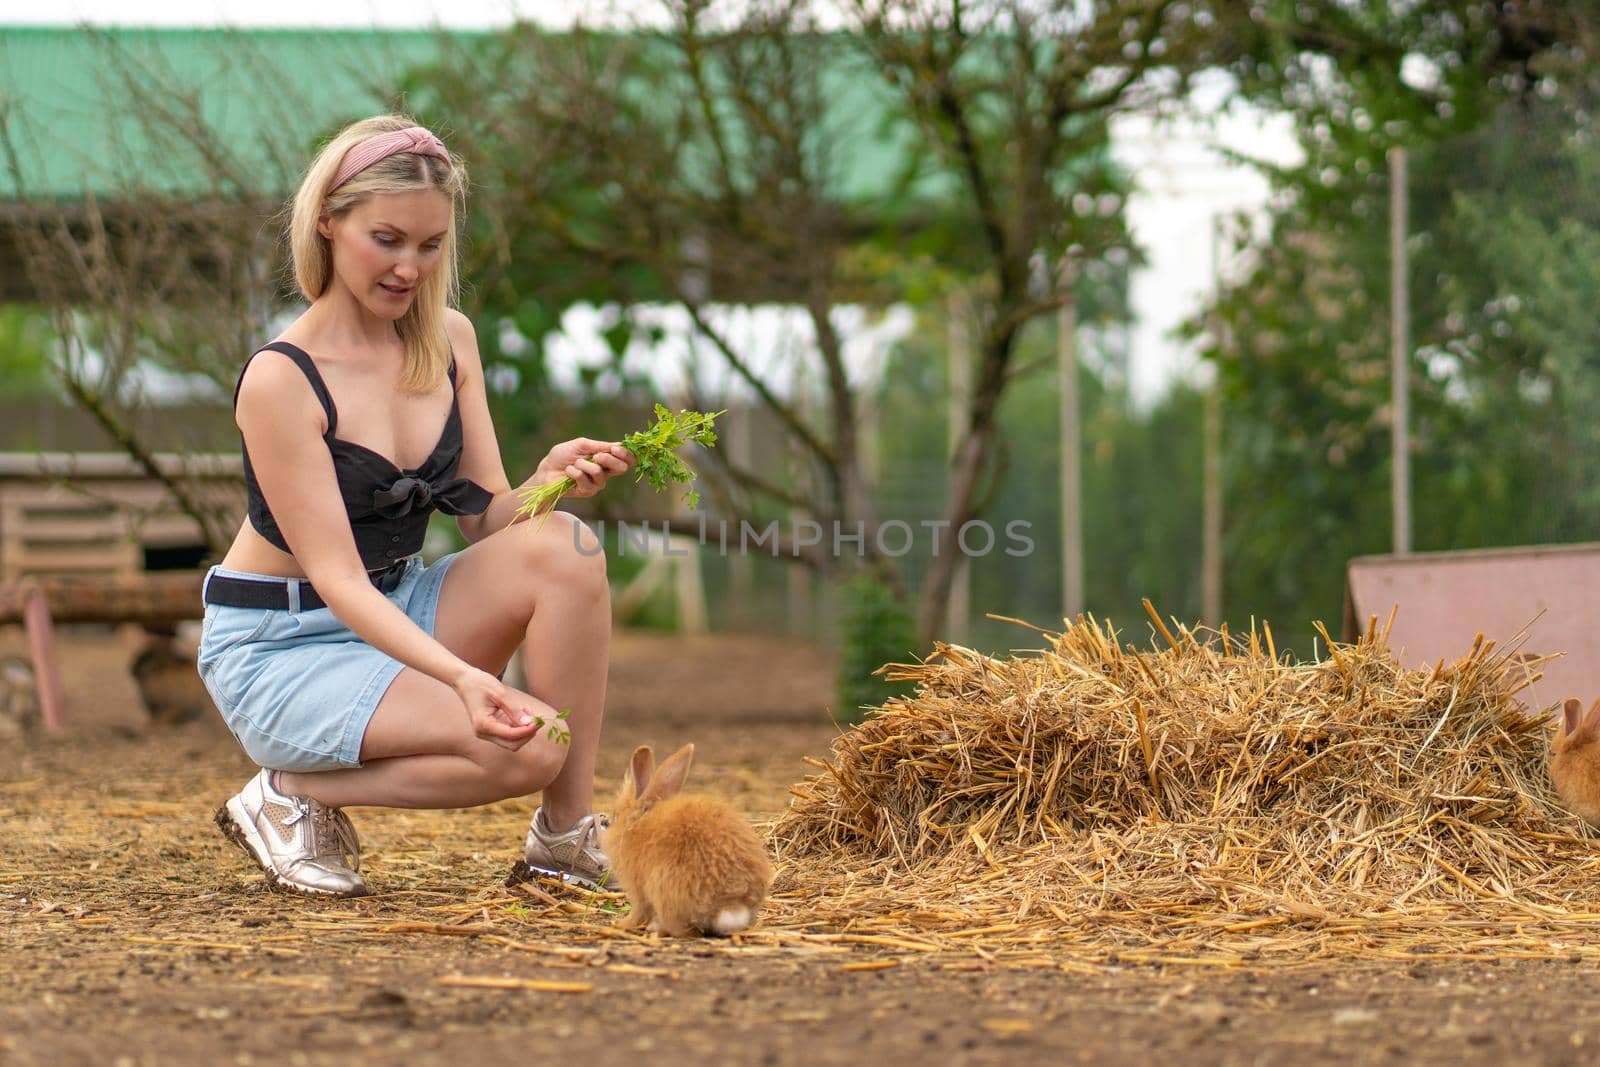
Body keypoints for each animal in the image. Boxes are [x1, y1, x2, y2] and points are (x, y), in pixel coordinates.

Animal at [601, 742, 771, 934]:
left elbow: (638, 911)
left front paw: (622, 924)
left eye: (616, 814)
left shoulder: (637, 888)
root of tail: (731, 905)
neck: (638, 822)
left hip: (662, 890)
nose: (607, 823)